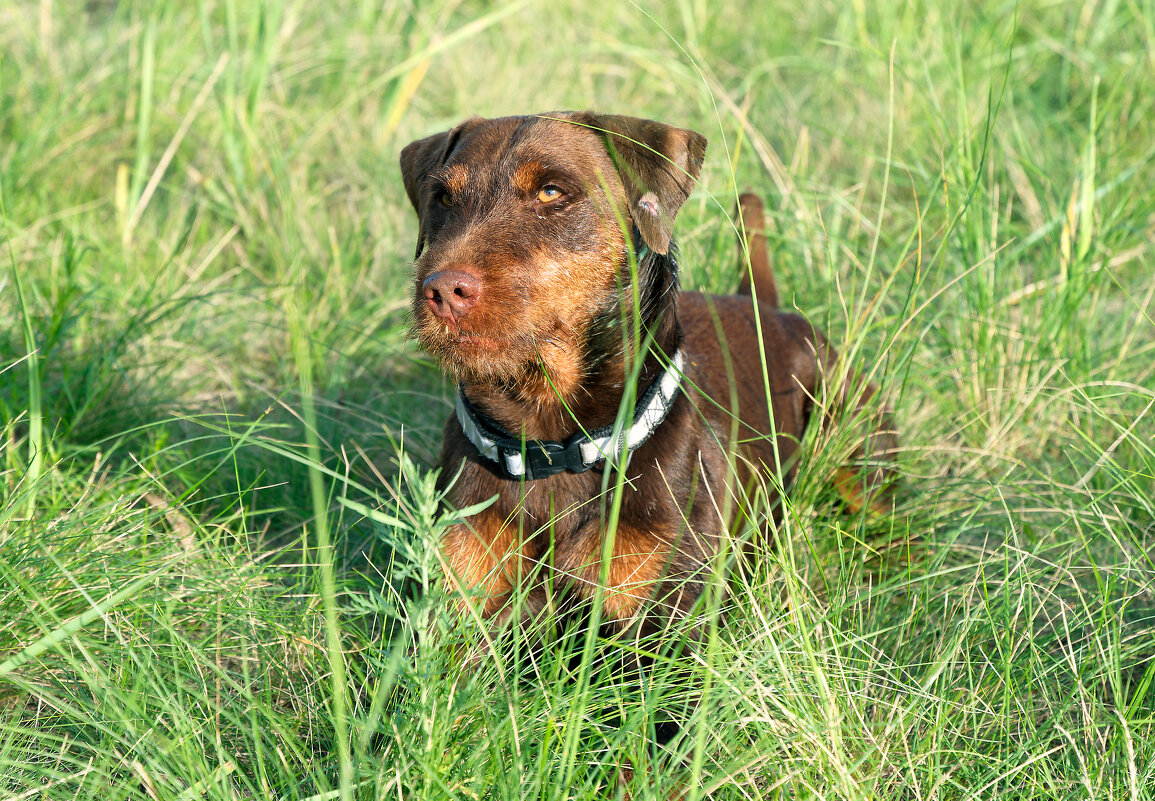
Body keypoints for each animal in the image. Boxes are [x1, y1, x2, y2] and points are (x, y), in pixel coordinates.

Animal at [401, 111, 896, 664]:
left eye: (551, 192)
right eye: (442, 197)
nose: (442, 291)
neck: (550, 444)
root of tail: (762, 304)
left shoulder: (663, 643)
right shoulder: (453, 621)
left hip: (860, 450)